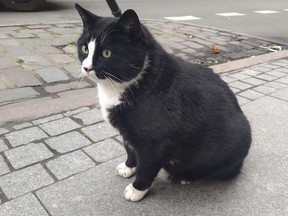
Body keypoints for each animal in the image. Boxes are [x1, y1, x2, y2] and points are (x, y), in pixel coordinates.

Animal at [75, 4, 252, 202]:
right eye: (84, 49)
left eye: (107, 53)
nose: (86, 68)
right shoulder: (127, 133)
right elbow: (130, 150)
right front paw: (128, 167)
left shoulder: (154, 143)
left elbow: (146, 167)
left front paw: (137, 189)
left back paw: (184, 176)